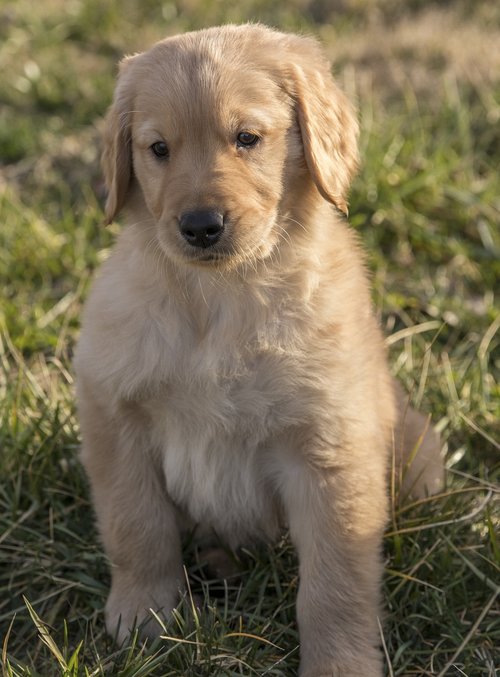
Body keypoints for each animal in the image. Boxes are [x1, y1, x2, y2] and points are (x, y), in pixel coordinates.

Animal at [73, 23, 442, 672]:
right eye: (158, 148)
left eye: (247, 138)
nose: (199, 225)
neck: (220, 299)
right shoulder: (113, 412)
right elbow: (136, 524)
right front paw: (143, 615)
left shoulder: (330, 449)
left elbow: (335, 581)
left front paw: (339, 663)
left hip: (420, 455)